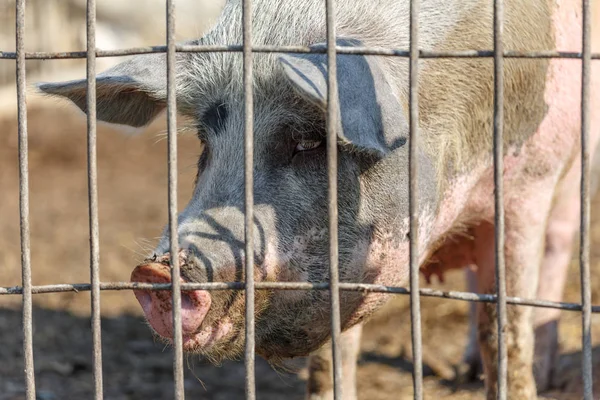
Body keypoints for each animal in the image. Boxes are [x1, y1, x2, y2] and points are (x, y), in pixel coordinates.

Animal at [38, 0, 600, 398]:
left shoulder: (528, 180)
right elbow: (332, 360)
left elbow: (504, 326)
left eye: (309, 140)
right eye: (205, 141)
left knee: (555, 246)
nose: (156, 271)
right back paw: (463, 370)